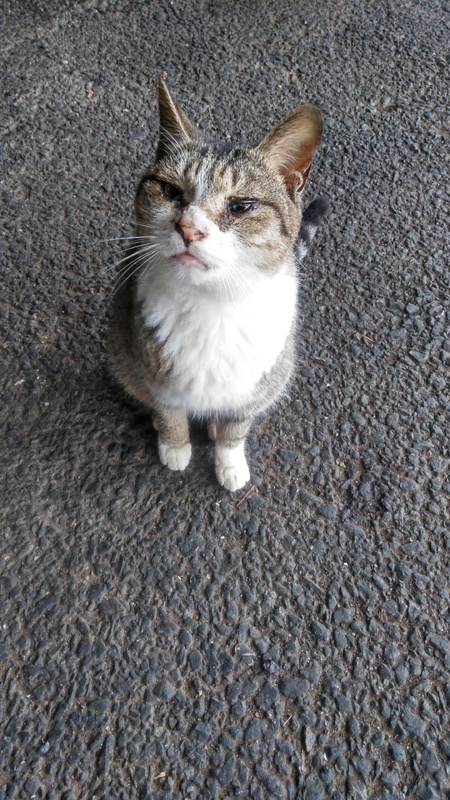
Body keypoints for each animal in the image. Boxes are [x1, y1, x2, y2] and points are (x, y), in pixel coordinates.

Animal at [108, 78, 328, 491]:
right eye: (171, 191)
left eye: (242, 206)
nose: (188, 228)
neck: (213, 305)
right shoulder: (155, 376)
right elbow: (169, 413)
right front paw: (174, 447)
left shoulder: (256, 386)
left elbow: (235, 429)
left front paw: (229, 462)